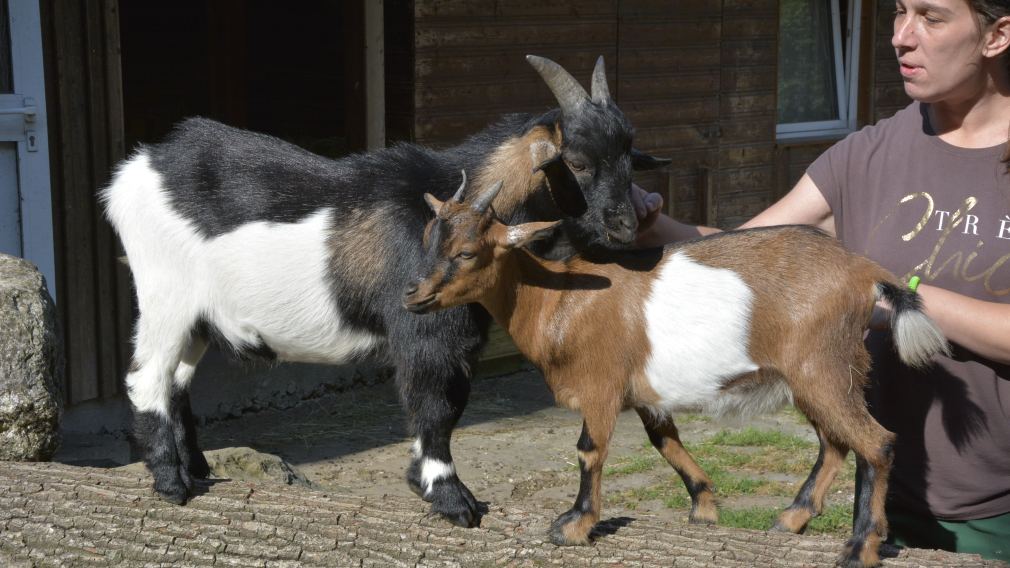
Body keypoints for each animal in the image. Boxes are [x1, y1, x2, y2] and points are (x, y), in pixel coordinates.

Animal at [100, 55, 670, 525]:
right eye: (575, 161)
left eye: (628, 157)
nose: (626, 224)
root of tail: (131, 174)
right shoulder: (427, 326)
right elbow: (434, 404)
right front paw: (450, 498)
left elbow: (450, 405)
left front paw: (425, 482)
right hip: (165, 296)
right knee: (146, 377)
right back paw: (171, 483)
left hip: (197, 318)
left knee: (177, 380)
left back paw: (196, 469)